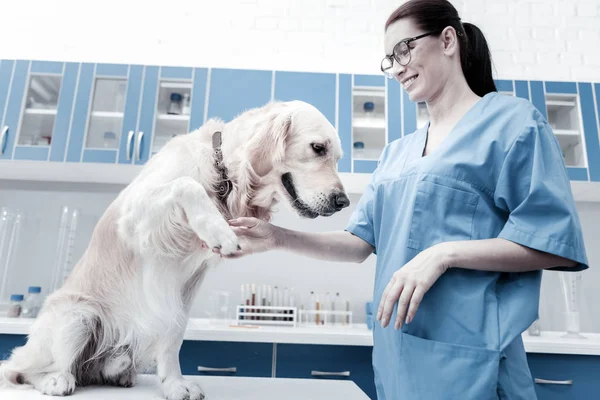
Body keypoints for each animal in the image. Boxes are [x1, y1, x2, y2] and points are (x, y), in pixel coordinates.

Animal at [0, 98, 350, 398]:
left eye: (338, 158)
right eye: (317, 148)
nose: (343, 202)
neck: (224, 172)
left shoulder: (189, 283)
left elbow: (174, 336)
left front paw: (174, 384)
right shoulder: (135, 215)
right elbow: (186, 184)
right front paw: (217, 228)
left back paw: (117, 371)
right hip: (78, 316)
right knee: (23, 369)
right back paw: (55, 379)